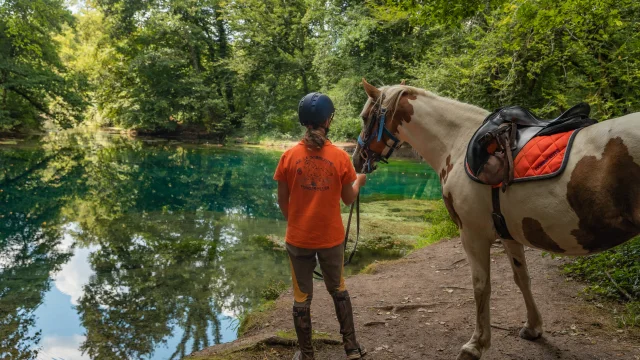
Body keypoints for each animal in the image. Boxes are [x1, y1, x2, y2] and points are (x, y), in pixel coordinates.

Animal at [356, 79, 640, 360]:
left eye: (365, 117)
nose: (358, 159)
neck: (456, 142)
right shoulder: (509, 233)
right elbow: (522, 278)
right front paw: (533, 327)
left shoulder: (472, 235)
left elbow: (481, 286)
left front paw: (476, 345)